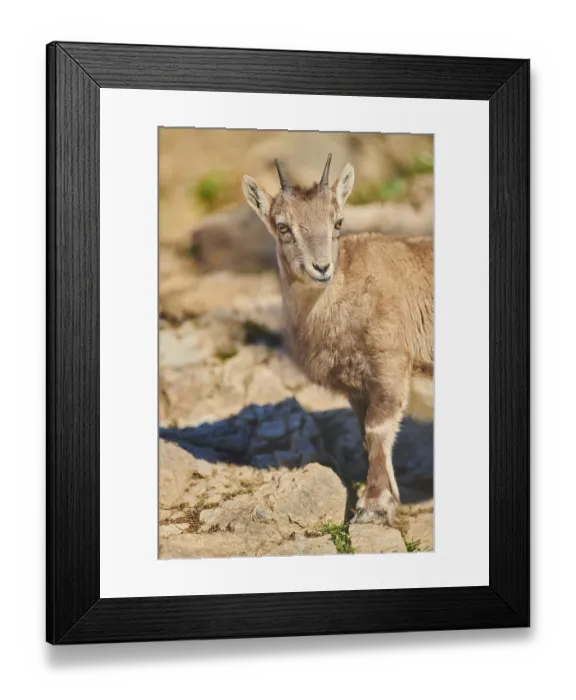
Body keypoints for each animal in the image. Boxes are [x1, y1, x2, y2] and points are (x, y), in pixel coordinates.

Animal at [242, 154, 433, 525]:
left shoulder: (390, 364)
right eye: (283, 227)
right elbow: (366, 436)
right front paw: (388, 498)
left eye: (338, 222)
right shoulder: (357, 387)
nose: (321, 268)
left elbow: (377, 430)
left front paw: (373, 506)